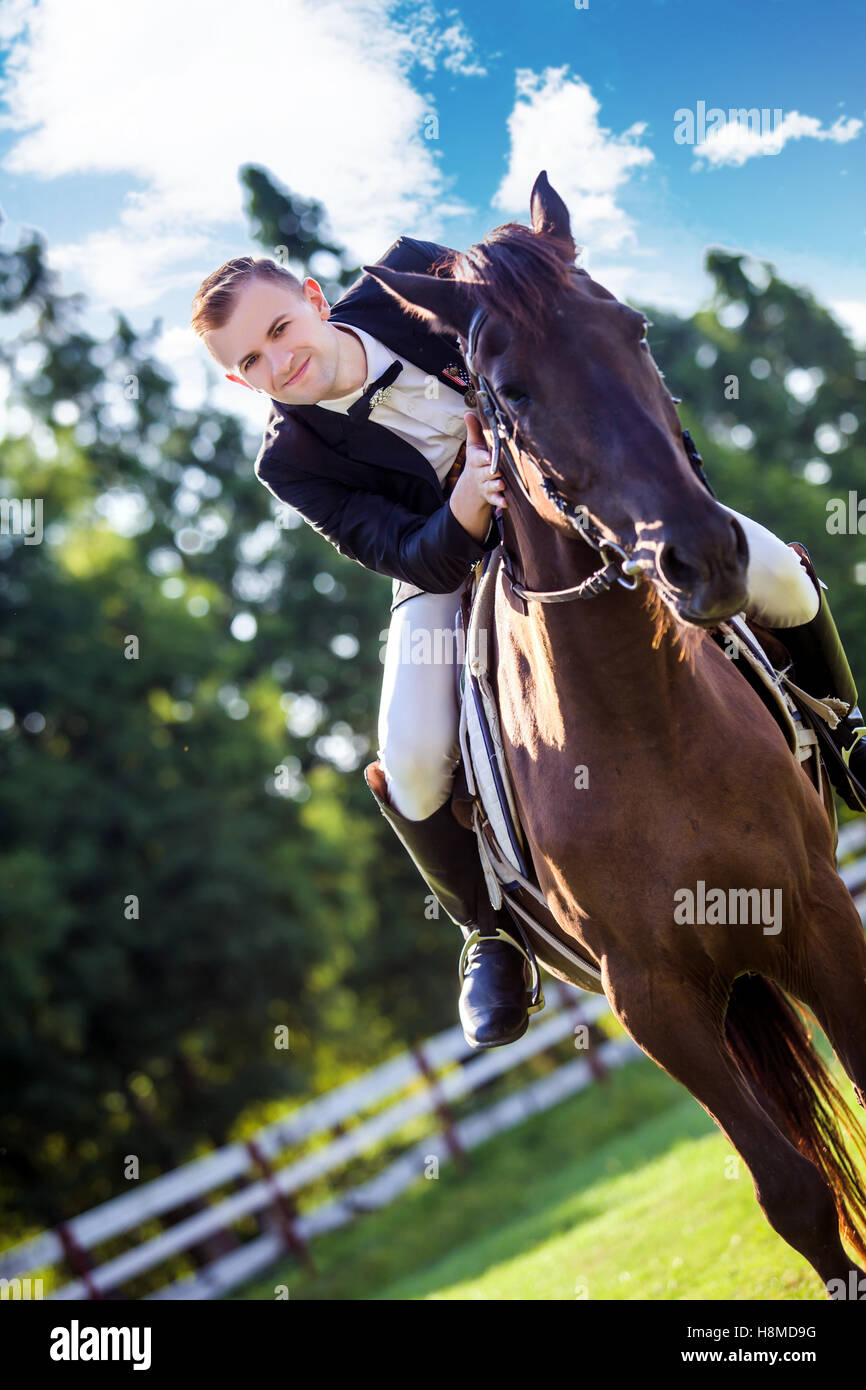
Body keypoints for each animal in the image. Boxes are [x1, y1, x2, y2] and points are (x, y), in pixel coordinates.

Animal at [366, 170, 866, 1289]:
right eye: (507, 392)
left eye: (632, 329)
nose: (703, 557)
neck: (642, 725)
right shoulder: (651, 1001)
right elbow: (793, 1195)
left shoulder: (817, 911)